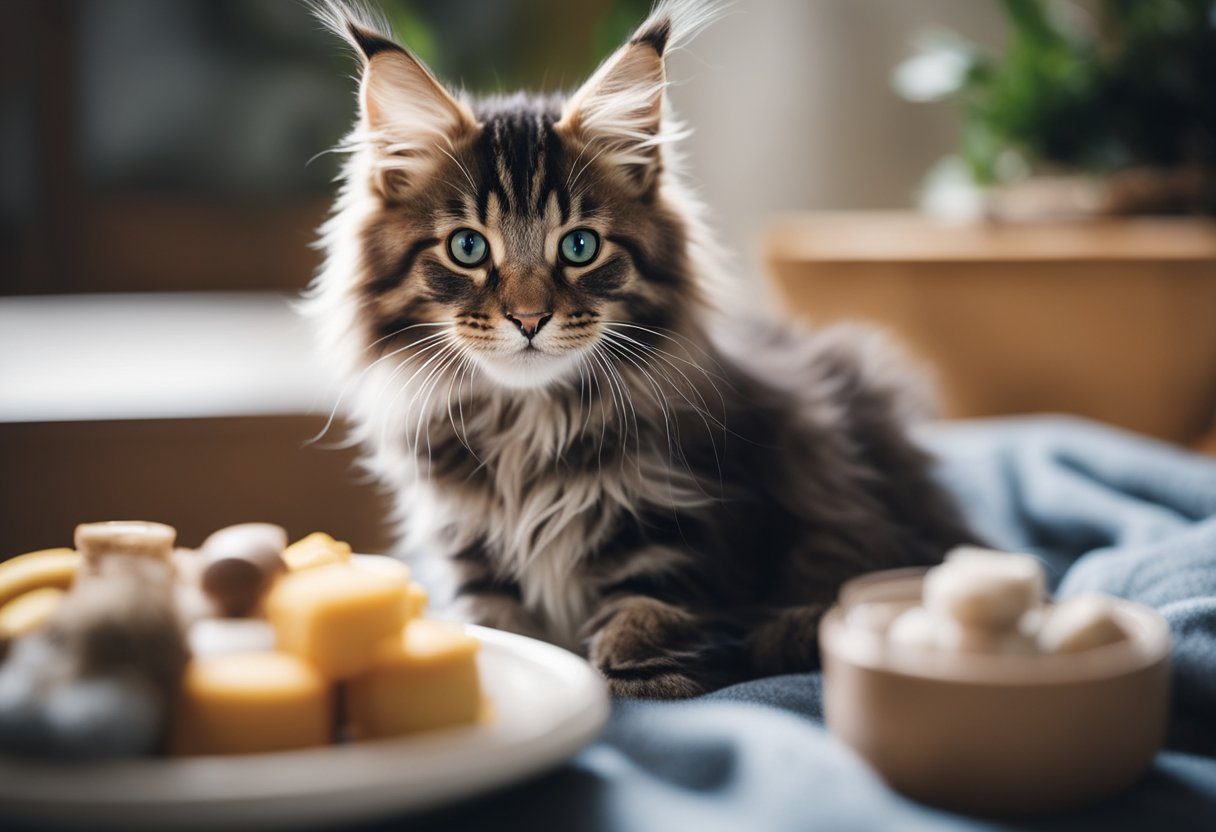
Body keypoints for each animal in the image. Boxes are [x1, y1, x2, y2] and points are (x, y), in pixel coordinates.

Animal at [308, 3, 972, 700]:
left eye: (579, 247)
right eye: (467, 247)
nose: (528, 318)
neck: (529, 429)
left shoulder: (675, 540)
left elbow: (644, 634)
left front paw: (637, 681)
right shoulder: (472, 552)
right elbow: (497, 631)